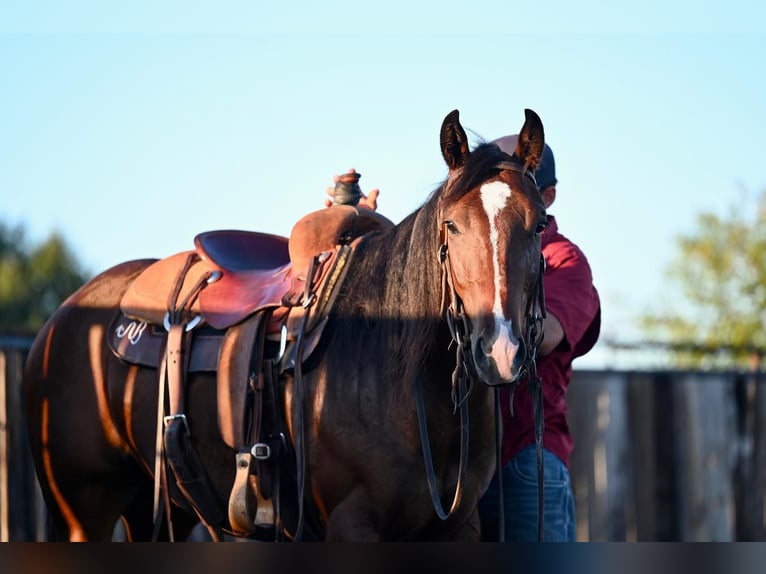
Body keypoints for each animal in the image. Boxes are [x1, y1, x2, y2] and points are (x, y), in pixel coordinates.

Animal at [24, 109, 548, 544]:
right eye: (452, 225)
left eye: (540, 224)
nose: (499, 350)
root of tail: (62, 318)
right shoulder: (352, 524)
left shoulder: (458, 527)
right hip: (82, 514)